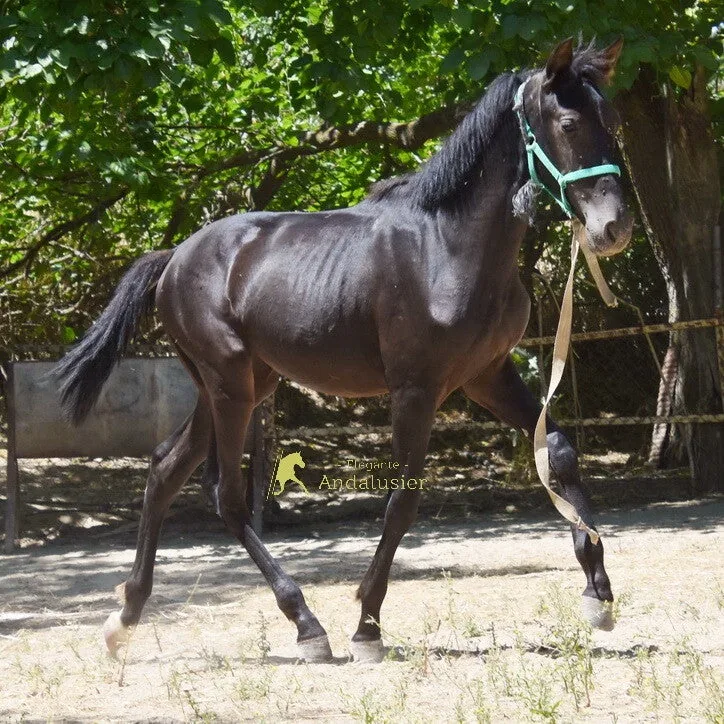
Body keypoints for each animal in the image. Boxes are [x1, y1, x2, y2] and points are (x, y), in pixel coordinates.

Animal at [56, 38, 633, 663]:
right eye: (569, 123)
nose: (614, 228)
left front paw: (598, 594)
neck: (447, 248)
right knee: (226, 497)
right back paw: (307, 625)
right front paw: (368, 625)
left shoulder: (487, 377)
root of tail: (174, 259)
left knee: (165, 469)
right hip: (230, 387)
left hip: (240, 385)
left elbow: (559, 453)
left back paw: (125, 619)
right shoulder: (415, 390)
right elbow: (402, 502)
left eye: (612, 120)